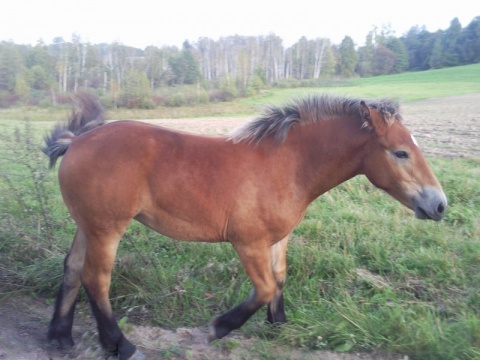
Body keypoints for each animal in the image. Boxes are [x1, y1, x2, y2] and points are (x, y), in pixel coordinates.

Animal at [43, 93, 448, 360]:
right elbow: (265, 288)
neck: (288, 165)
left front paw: (280, 325)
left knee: (73, 268)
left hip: (88, 225)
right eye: (400, 152)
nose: (439, 205)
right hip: (107, 228)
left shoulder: (277, 239)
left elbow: (279, 279)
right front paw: (219, 327)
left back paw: (60, 337)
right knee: (96, 279)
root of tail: (76, 140)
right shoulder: (248, 243)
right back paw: (121, 345)